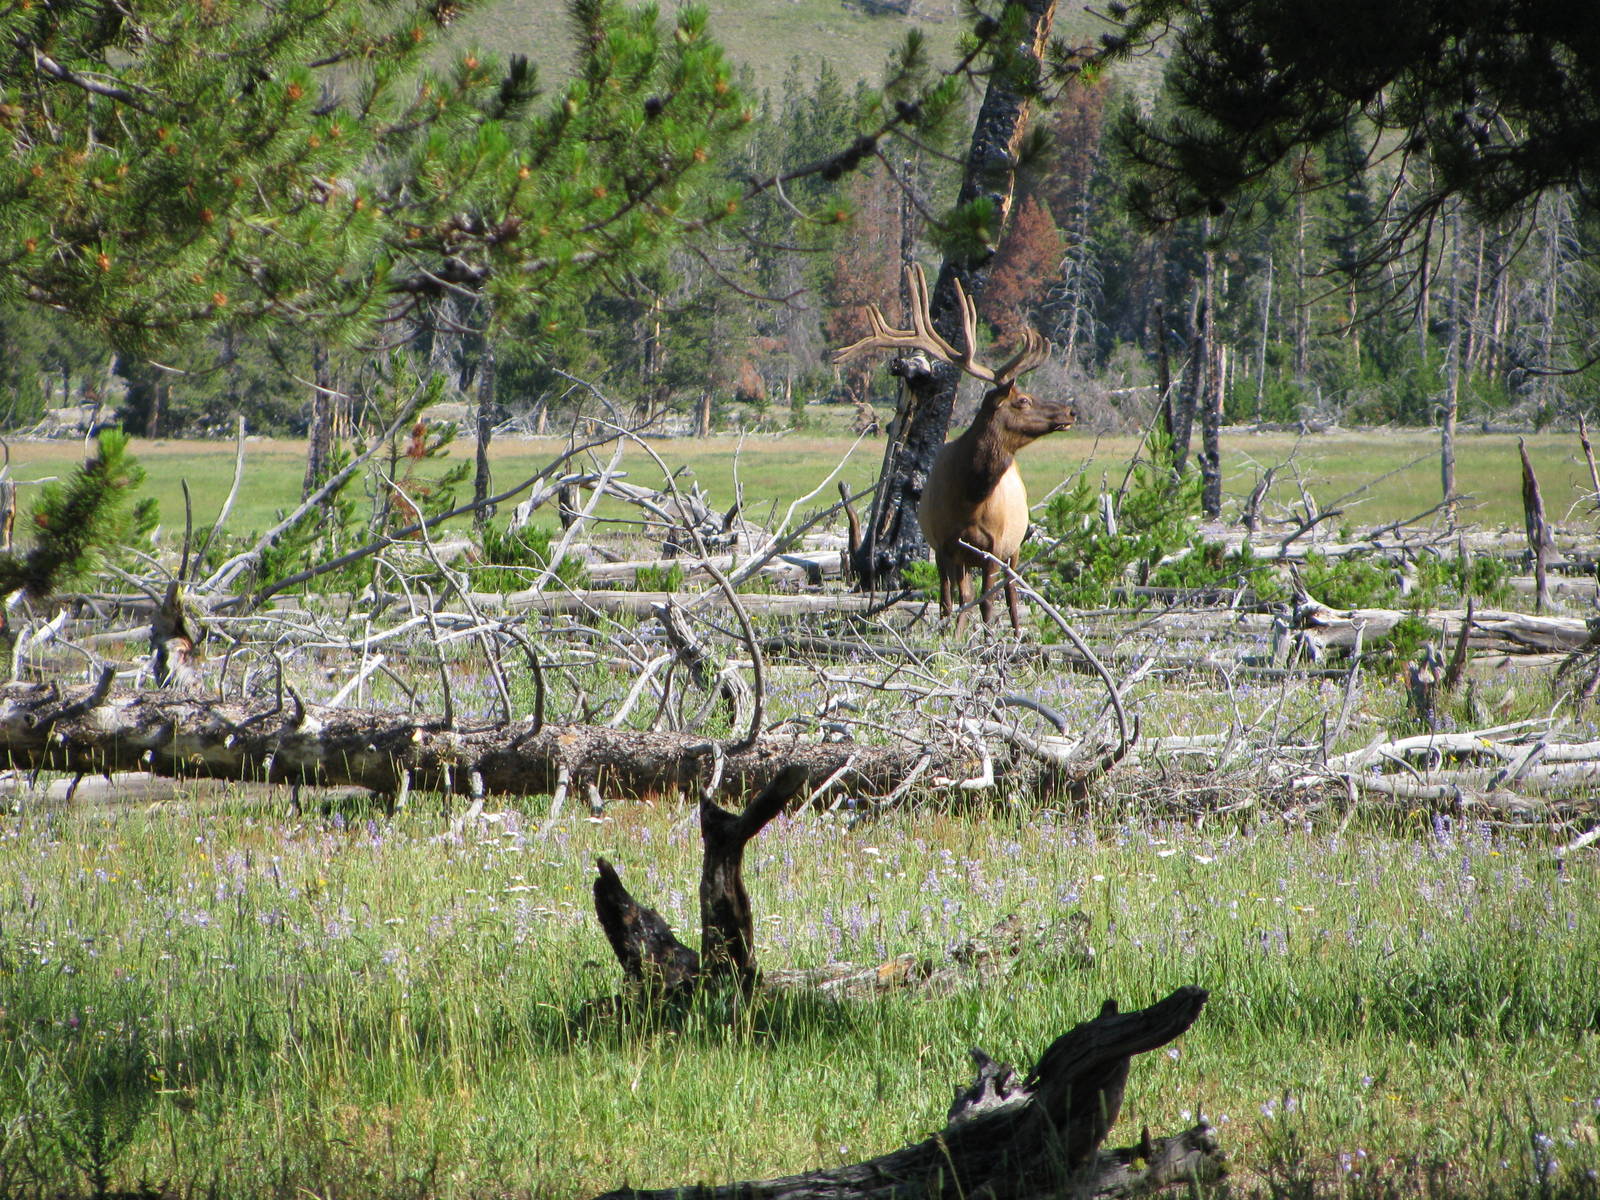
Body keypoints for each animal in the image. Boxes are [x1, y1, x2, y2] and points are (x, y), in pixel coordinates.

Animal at [833, 264, 1076, 631]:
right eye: (1023, 400)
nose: (1070, 412)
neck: (970, 500)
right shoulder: (945, 544)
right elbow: (956, 600)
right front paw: (956, 634)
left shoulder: (994, 547)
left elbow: (987, 602)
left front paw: (987, 636)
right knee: (957, 595)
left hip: (1015, 545)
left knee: (1012, 594)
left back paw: (1017, 631)